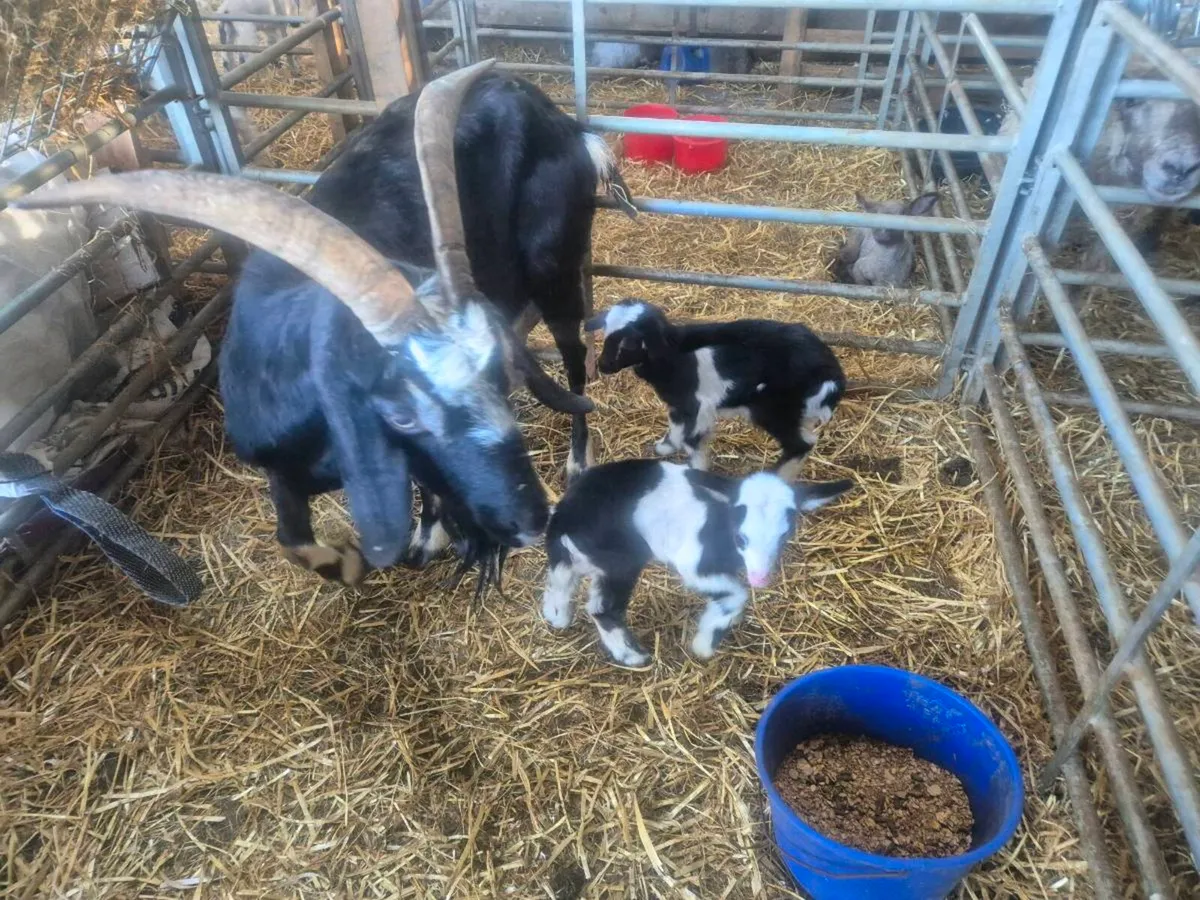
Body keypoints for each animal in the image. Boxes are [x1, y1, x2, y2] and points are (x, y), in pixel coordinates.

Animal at [17, 61, 590, 597]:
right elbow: (295, 539)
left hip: (553, 260)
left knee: (576, 354)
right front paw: (395, 549)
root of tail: (533, 98)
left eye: (500, 379)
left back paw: (577, 464)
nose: (530, 520)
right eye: (401, 416)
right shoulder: (288, 466)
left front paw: (467, 547)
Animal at [541, 459, 853, 665]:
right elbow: (738, 593)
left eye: (785, 534)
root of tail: (566, 514)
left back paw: (557, 617)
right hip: (623, 559)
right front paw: (705, 641)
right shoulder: (694, 564)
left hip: (585, 557)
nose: (761, 579)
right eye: (741, 537)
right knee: (602, 608)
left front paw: (727, 620)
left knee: (561, 578)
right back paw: (633, 656)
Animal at [585, 300, 845, 480]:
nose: (603, 365)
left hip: (775, 407)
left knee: (801, 443)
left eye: (630, 342)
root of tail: (832, 373)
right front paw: (663, 447)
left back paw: (778, 477)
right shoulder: (680, 404)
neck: (674, 356)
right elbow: (676, 429)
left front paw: (696, 468)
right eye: (606, 331)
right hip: (796, 409)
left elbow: (691, 438)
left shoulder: (696, 404)